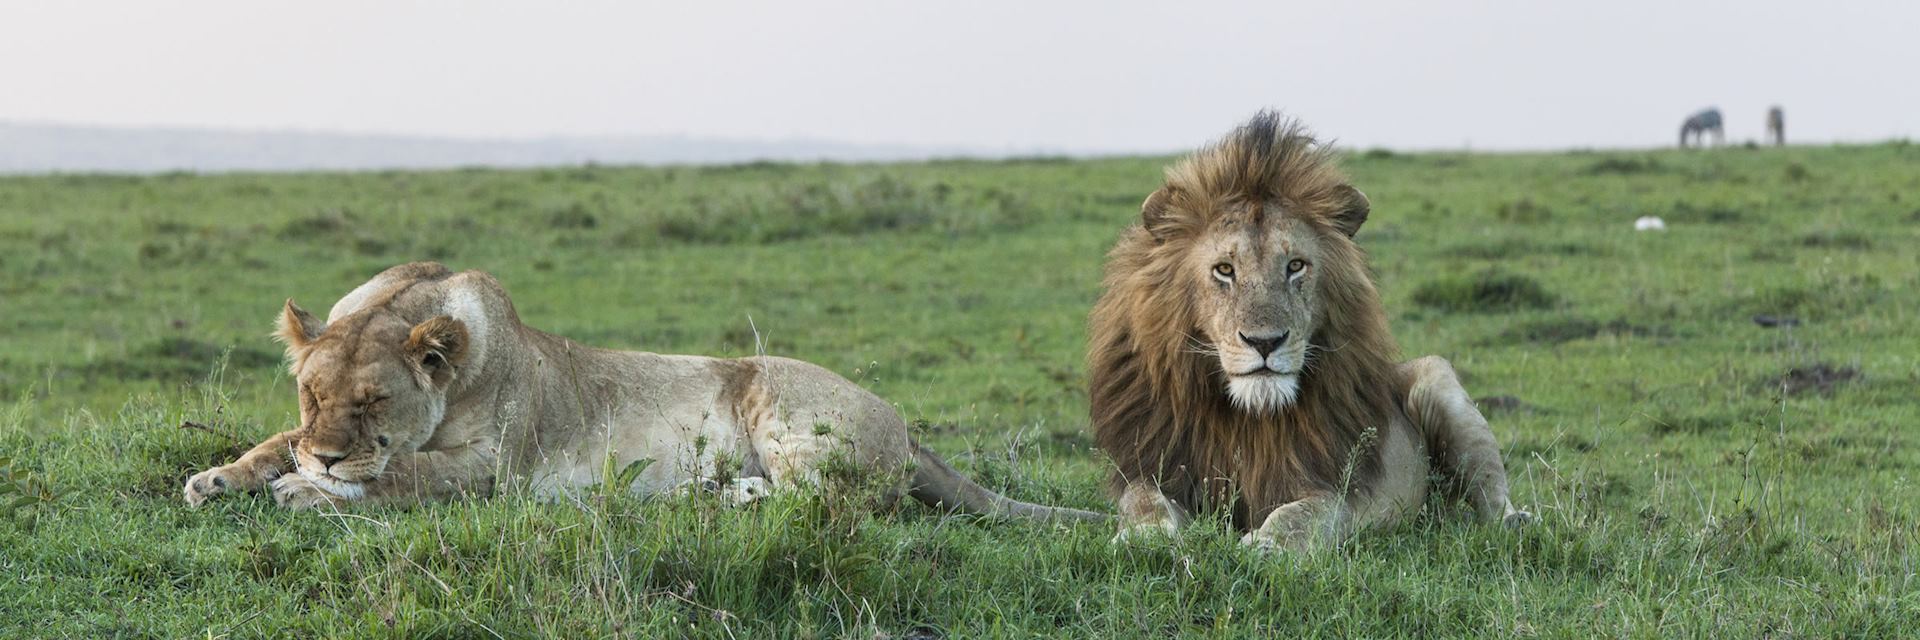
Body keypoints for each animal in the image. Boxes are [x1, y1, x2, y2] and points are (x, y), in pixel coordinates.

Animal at [191, 261, 1113, 522]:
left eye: (375, 404)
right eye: (311, 397)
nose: (326, 453)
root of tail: (909, 428)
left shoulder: (495, 471)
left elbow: (402, 474)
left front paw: (311, 490)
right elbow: (266, 445)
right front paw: (223, 477)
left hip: (774, 392)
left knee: (832, 500)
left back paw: (712, 497)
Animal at [1098, 110, 1528, 549]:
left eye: (1295, 266)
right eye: (1224, 269)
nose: (1265, 342)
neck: (1250, 419)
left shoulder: (1339, 488)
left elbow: (1301, 514)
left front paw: (1265, 544)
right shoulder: (1160, 467)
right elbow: (1143, 500)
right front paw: (1144, 537)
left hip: (1437, 380)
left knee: (1489, 490)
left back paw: (1514, 521)